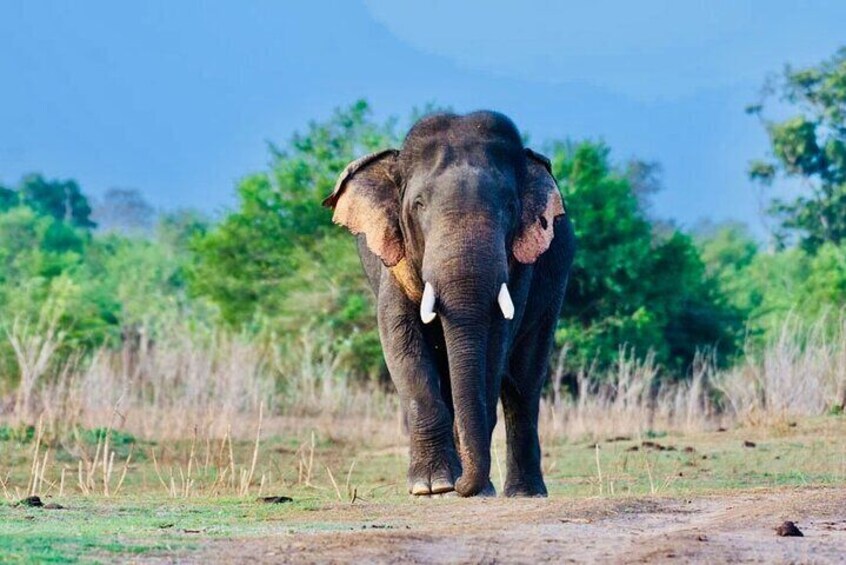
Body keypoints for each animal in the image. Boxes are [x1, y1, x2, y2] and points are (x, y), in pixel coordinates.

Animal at [324, 111, 576, 498]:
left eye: (510, 206)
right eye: (418, 204)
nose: (460, 486)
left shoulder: (520, 267)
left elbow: (495, 345)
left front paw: (467, 487)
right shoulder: (393, 260)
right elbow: (400, 338)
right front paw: (431, 487)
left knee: (524, 383)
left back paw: (525, 493)